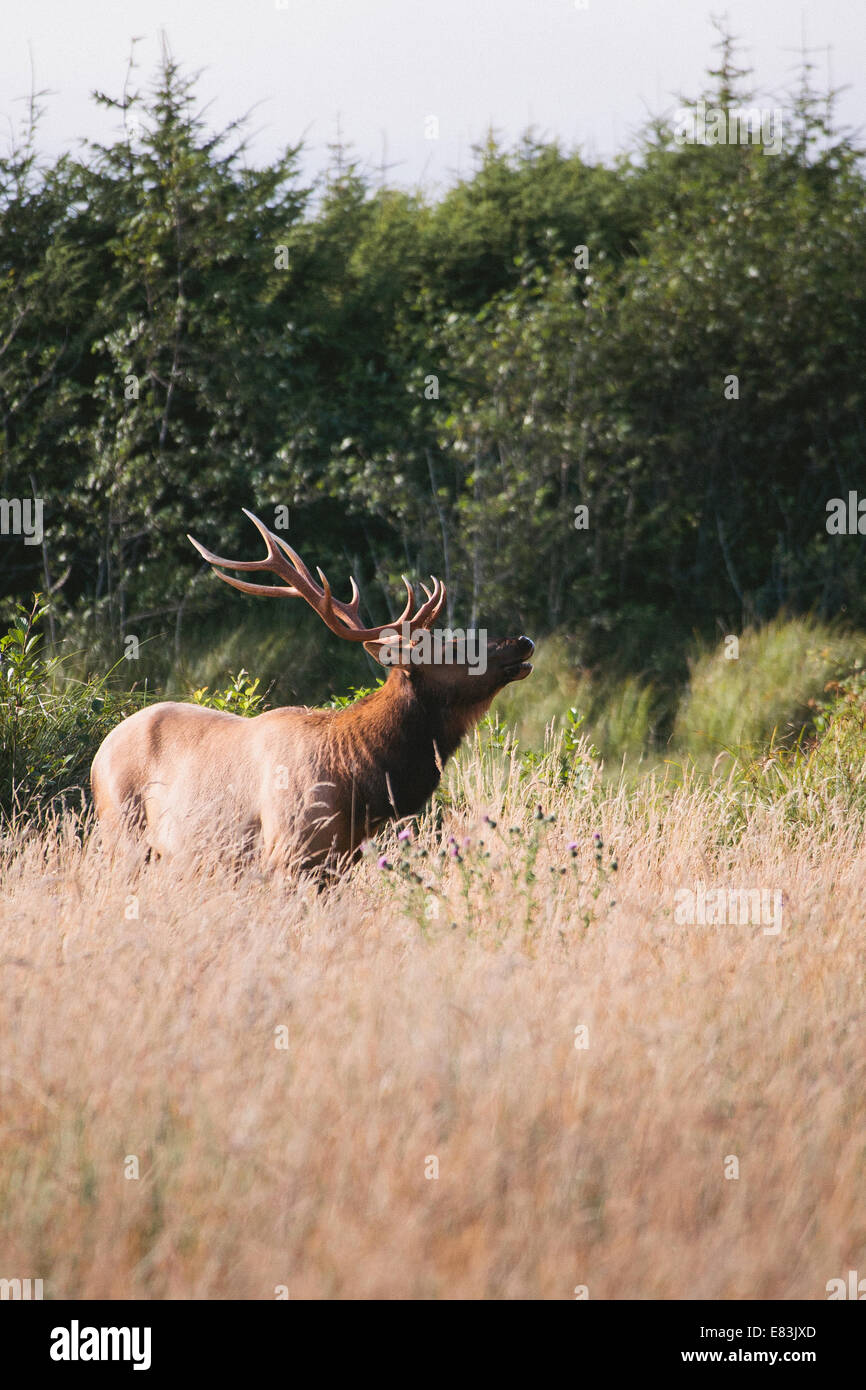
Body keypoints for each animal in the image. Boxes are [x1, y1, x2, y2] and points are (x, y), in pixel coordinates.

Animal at [91, 511, 530, 872]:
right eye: (451, 648)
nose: (523, 641)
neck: (357, 784)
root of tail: (99, 753)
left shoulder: (338, 864)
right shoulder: (286, 852)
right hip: (122, 835)